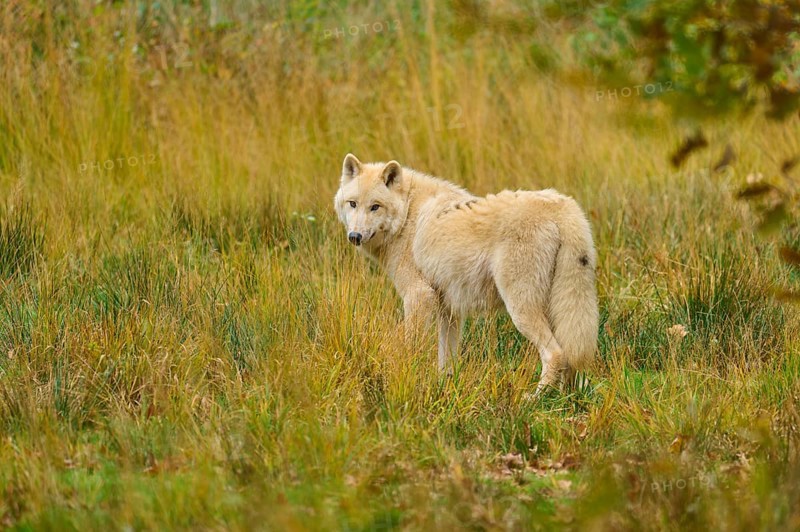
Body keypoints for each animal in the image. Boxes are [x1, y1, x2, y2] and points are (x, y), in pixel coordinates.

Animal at [334, 154, 598, 394]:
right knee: (569, 359)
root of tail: (562, 207)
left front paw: (404, 377)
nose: (354, 236)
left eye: (375, 206)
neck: (407, 215)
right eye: (353, 203)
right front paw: (444, 392)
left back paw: (534, 400)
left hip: (521, 309)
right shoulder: (449, 311)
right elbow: (446, 362)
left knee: (556, 354)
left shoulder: (418, 297)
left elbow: (410, 348)